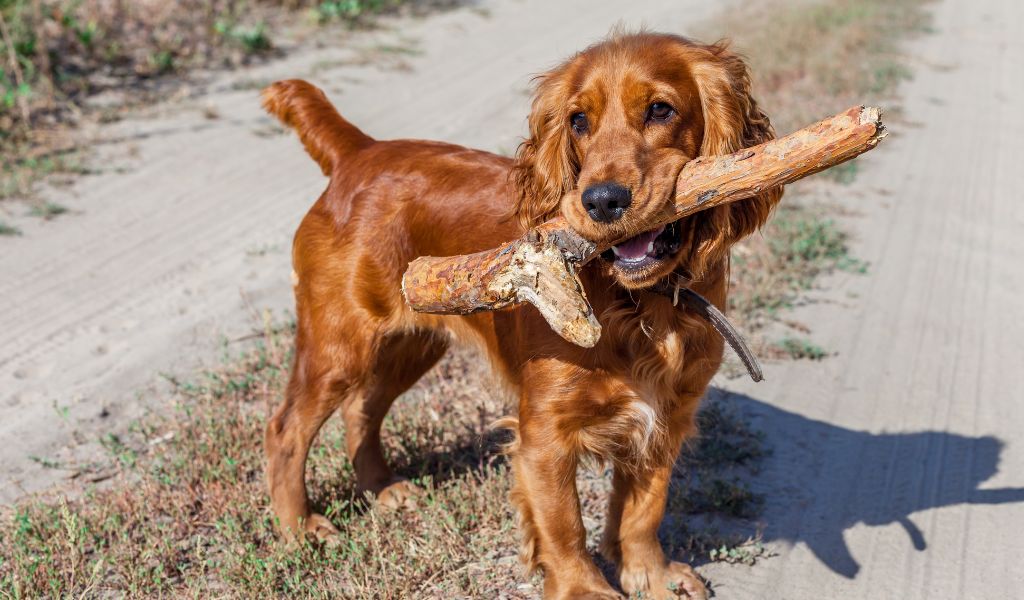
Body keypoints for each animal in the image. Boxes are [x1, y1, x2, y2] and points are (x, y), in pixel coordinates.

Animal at [260, 33, 778, 597]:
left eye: (661, 109)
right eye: (578, 121)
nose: (601, 201)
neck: (642, 304)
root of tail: (360, 150)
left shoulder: (668, 414)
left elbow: (645, 507)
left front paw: (650, 574)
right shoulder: (545, 432)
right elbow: (564, 523)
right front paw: (584, 589)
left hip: (414, 342)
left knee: (362, 409)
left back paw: (383, 488)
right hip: (340, 344)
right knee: (286, 429)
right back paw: (298, 530)